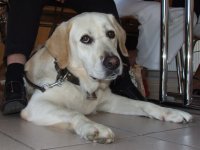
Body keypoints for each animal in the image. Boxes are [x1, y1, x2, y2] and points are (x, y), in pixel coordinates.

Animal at [21, 12, 192, 144]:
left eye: (111, 34)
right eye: (85, 39)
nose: (113, 62)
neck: (81, 83)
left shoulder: (110, 101)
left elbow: (145, 104)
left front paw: (170, 112)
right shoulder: (37, 104)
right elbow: (73, 112)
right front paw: (95, 127)